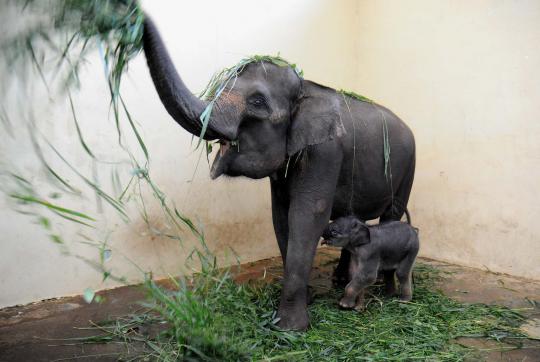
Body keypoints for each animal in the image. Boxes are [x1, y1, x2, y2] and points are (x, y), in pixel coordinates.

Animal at [141, 19, 416, 330]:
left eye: (258, 102)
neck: (306, 87)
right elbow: (281, 215)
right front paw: (306, 301)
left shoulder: (325, 152)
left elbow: (307, 215)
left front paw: (289, 327)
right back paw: (340, 280)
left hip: (408, 168)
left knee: (391, 215)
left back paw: (384, 286)